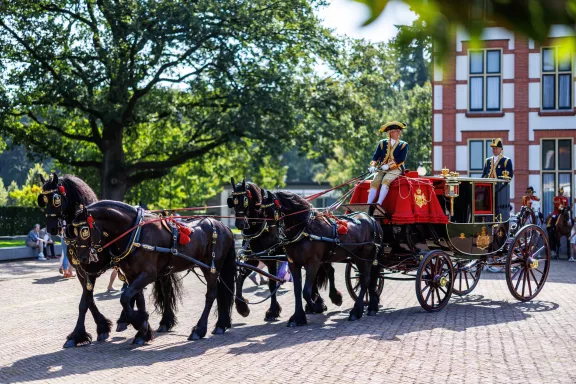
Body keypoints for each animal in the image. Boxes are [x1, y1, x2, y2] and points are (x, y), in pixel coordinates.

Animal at [38, 174, 180, 348]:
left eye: (56, 199)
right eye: (43, 200)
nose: (51, 228)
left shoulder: (92, 270)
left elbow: (85, 301)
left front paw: (80, 334)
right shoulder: (82, 271)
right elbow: (88, 301)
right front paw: (98, 328)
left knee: (165, 290)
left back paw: (164, 321)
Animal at [72, 201, 236, 342]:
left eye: (84, 230)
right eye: (74, 231)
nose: (82, 258)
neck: (136, 233)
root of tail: (223, 226)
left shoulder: (148, 274)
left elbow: (125, 297)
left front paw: (139, 322)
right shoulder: (132, 275)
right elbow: (138, 299)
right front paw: (143, 331)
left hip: (211, 267)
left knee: (211, 295)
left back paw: (199, 329)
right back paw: (220, 325)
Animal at [228, 180, 342, 320]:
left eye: (245, 200)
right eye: (233, 201)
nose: (240, 225)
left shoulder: (272, 260)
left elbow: (272, 284)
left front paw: (272, 311)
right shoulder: (253, 259)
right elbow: (240, 279)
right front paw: (242, 308)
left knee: (328, 271)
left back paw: (329, 300)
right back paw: (316, 302)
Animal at [260, 184, 382, 326]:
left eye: (267, 210)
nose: (269, 237)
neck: (305, 229)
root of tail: (371, 219)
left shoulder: (313, 263)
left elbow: (306, 292)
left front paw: (315, 306)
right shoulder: (293, 263)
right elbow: (297, 291)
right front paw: (297, 317)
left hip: (365, 256)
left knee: (366, 279)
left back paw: (356, 311)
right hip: (358, 257)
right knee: (369, 279)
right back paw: (370, 306)